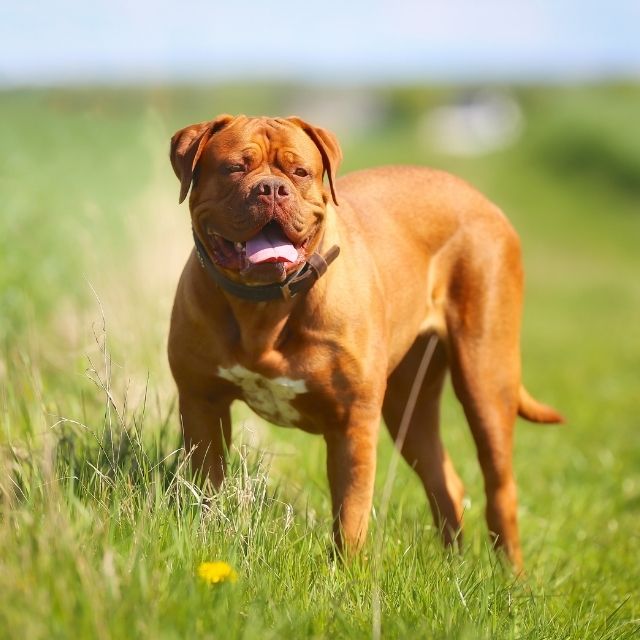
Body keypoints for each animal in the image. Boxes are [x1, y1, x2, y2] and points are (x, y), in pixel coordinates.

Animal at [168, 112, 564, 568]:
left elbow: (351, 512)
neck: (263, 307)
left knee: (500, 488)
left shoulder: (352, 422)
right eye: (235, 167)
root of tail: (481, 199)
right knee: (444, 480)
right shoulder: (202, 403)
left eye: (300, 172)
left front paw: (343, 573)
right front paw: (205, 539)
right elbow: (206, 488)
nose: (272, 188)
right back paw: (454, 566)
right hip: (408, 404)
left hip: (486, 378)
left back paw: (510, 576)